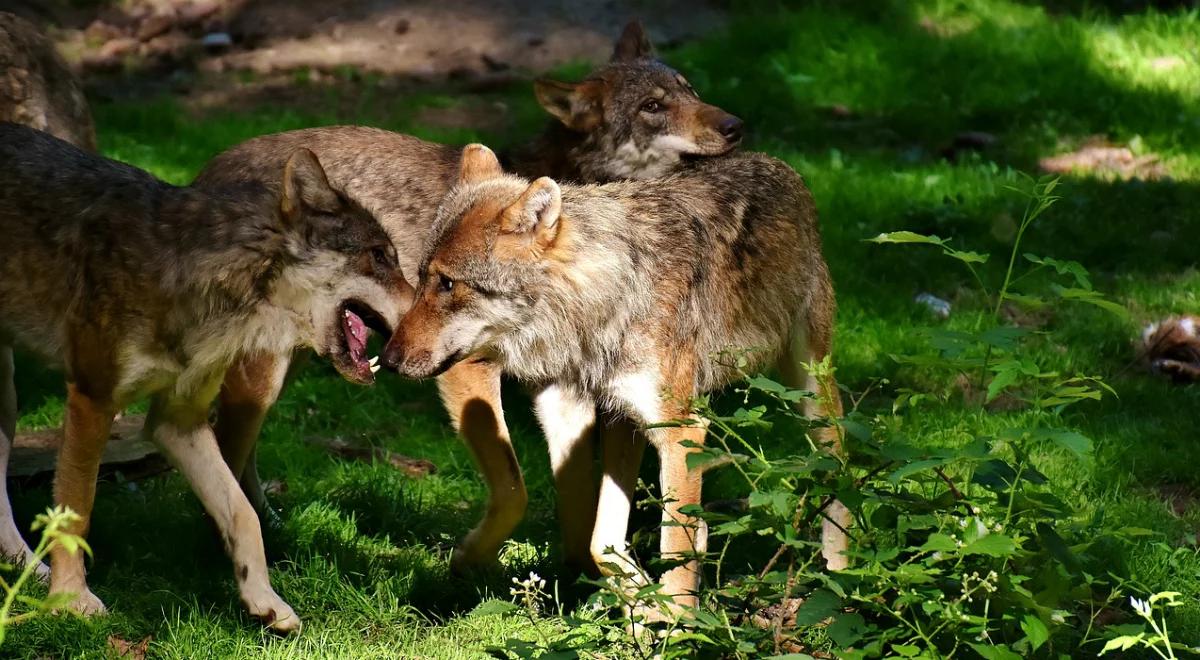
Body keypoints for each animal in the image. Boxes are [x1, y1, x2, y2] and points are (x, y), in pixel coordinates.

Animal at [0, 121, 410, 633]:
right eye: (379, 256)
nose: (433, 305)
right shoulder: (93, 399)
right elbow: (77, 514)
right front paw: (72, 600)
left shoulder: (177, 421)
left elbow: (243, 513)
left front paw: (265, 601)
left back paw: (29, 570)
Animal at [384, 145, 844, 609]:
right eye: (421, 278)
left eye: (447, 284)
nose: (387, 359)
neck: (604, 301)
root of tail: (777, 164)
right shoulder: (579, 412)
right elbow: (597, 539)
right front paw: (641, 601)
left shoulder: (680, 431)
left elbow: (674, 552)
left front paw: (676, 622)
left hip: (809, 393)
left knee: (839, 465)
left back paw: (842, 575)